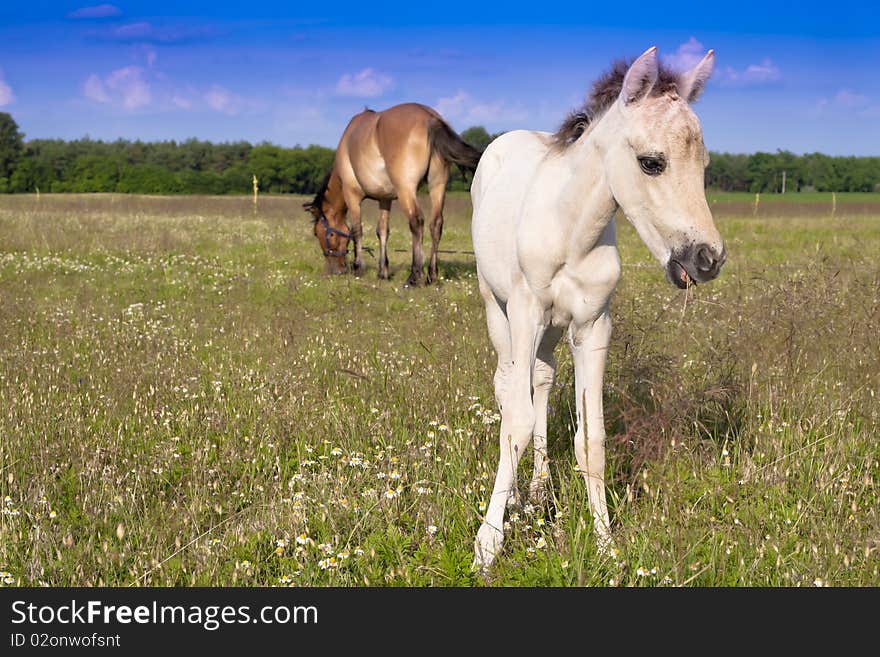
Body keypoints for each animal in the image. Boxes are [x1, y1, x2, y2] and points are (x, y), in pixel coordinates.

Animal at [302, 103, 482, 284]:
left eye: (318, 233)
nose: (335, 270)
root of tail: (430, 118)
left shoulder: (352, 195)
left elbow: (356, 230)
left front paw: (358, 267)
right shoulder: (385, 199)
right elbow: (382, 231)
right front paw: (383, 272)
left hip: (406, 190)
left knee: (416, 222)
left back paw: (415, 276)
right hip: (437, 186)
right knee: (436, 224)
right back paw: (432, 275)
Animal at [470, 46, 724, 568]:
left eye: (703, 163)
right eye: (651, 162)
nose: (708, 259)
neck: (572, 231)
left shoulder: (593, 325)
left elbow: (592, 437)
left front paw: (606, 543)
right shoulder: (525, 311)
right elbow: (516, 421)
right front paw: (488, 544)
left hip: (551, 330)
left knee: (542, 379)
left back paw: (538, 492)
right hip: (496, 306)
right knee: (507, 385)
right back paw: (516, 499)